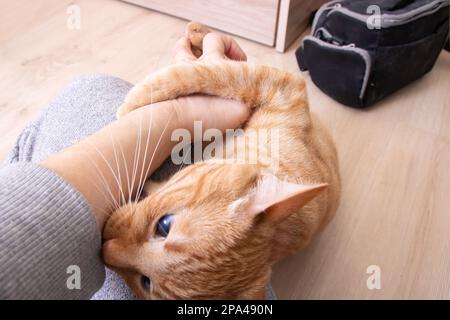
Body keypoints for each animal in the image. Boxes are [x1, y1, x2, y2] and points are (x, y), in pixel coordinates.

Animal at [103, 23, 342, 300]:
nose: (104, 250)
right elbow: (212, 71)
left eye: (145, 283)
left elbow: (208, 71)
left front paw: (131, 103)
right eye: (165, 225)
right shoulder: (282, 88)